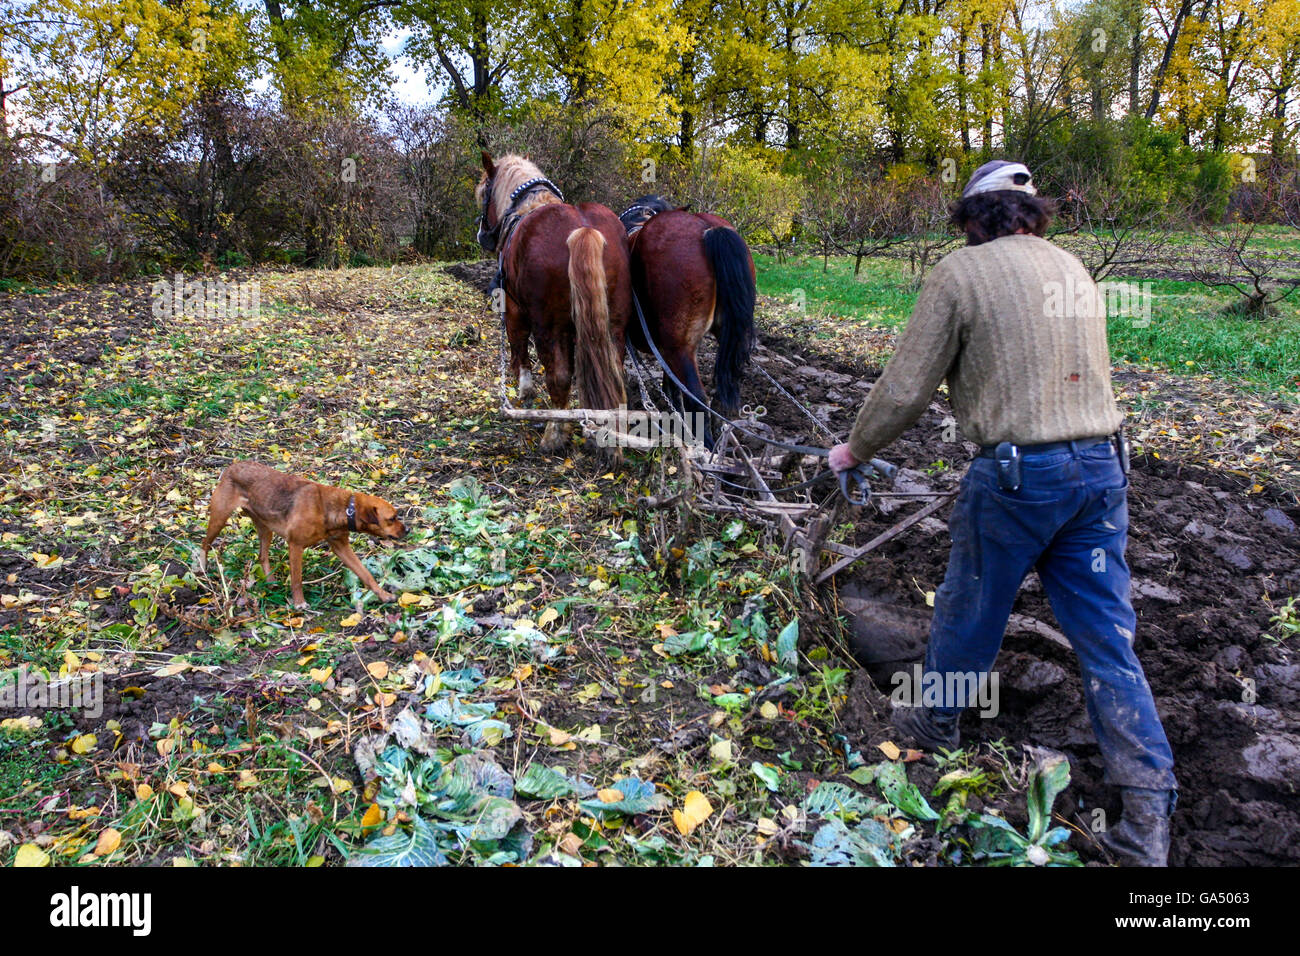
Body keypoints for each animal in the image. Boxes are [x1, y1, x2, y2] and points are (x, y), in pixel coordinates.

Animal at [476, 151, 630, 454]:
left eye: (484, 193)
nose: (482, 235)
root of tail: (583, 229)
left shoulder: (515, 310)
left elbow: (520, 350)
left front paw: (526, 393)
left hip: (547, 325)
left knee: (557, 376)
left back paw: (554, 433)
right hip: (613, 324)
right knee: (613, 371)